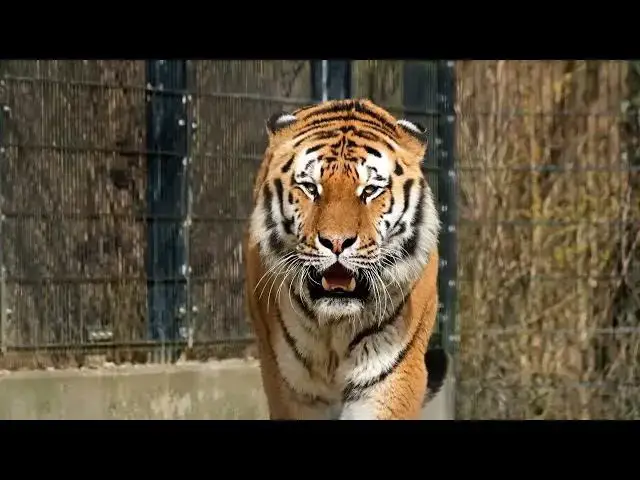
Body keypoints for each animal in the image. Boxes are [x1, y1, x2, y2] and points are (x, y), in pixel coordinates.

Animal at [243, 98, 447, 420]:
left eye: (370, 190)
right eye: (311, 188)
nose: (336, 242)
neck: (334, 329)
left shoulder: (390, 376)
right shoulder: (291, 388)